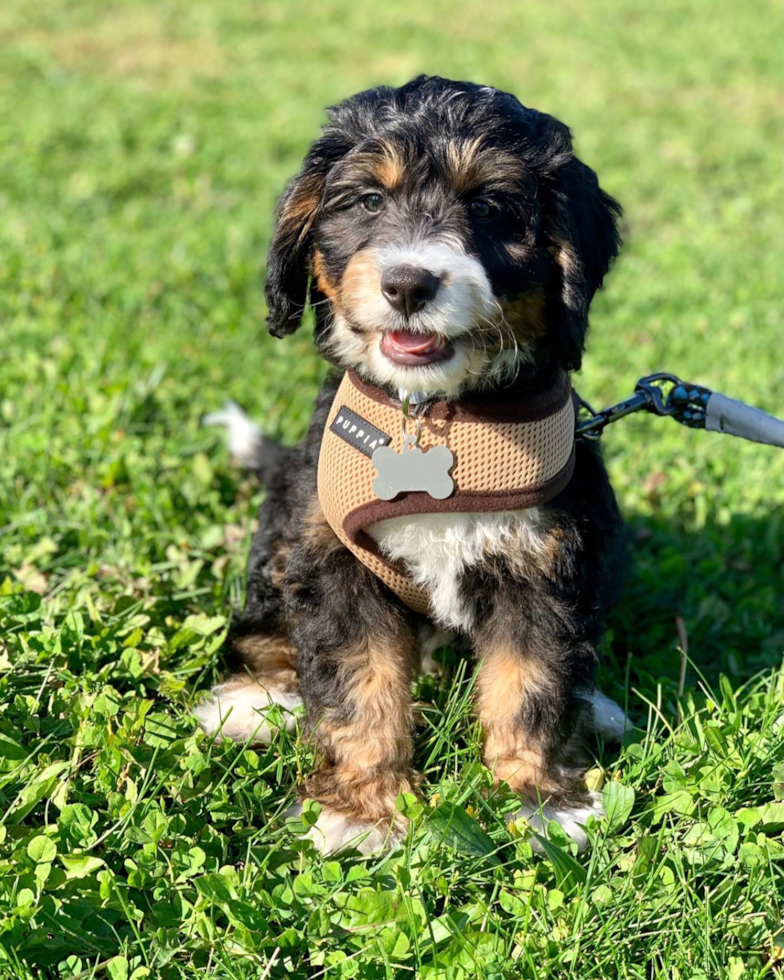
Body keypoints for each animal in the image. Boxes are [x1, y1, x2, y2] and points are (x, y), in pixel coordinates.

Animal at [199, 76, 628, 852]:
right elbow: (358, 684)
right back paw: (255, 700)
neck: (435, 418)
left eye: (488, 207)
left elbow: (532, 681)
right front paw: (363, 808)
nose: (407, 284)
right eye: (369, 201)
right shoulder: (334, 560)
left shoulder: (546, 560)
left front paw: (537, 800)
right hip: (284, 528)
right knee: (265, 631)